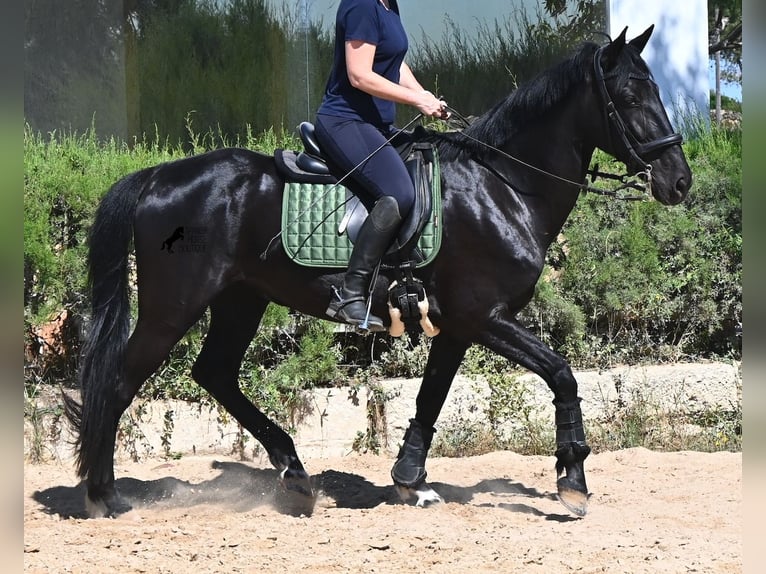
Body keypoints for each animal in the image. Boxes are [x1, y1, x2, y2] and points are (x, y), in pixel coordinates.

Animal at [64, 25, 691, 519]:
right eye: (630, 95)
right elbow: (562, 374)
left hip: (242, 298)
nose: (679, 181)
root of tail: (157, 175)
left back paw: (294, 473)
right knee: (119, 382)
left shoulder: (459, 324)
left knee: (214, 373)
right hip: (173, 307)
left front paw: (411, 481)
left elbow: (431, 397)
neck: (502, 187)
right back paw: (105, 496)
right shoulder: (485, 316)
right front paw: (572, 481)